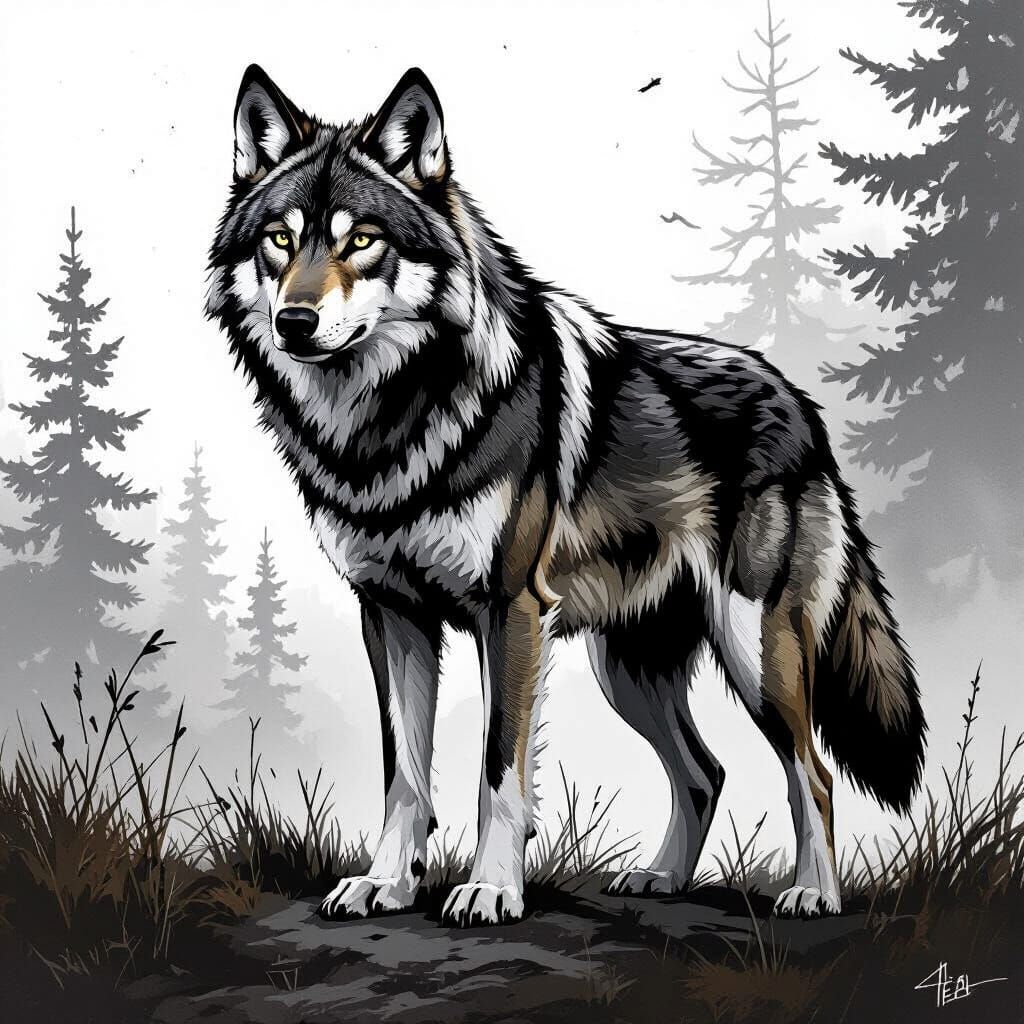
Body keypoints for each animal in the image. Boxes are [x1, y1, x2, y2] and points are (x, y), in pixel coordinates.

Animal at [206, 65, 926, 926]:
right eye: (280, 240)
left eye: (362, 240)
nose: (295, 321)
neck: (388, 422)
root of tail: (801, 404)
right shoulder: (391, 613)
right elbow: (404, 775)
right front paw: (386, 885)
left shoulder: (510, 610)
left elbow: (497, 772)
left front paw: (490, 889)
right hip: (628, 673)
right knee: (706, 772)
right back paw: (661, 879)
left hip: (754, 650)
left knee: (809, 773)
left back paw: (814, 894)